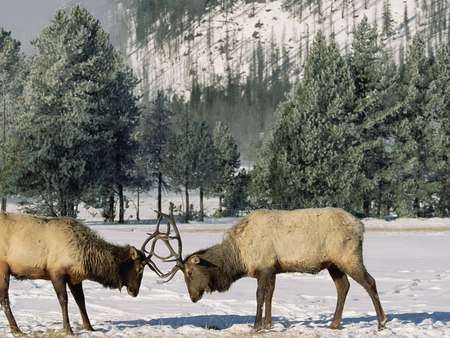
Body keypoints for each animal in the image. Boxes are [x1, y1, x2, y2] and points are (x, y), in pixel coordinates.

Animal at [0, 213, 146, 334]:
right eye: (140, 268)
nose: (135, 291)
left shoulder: (74, 278)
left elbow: (81, 301)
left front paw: (90, 328)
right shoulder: (56, 272)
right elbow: (63, 300)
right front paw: (68, 329)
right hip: (3, 267)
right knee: (4, 298)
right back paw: (16, 329)